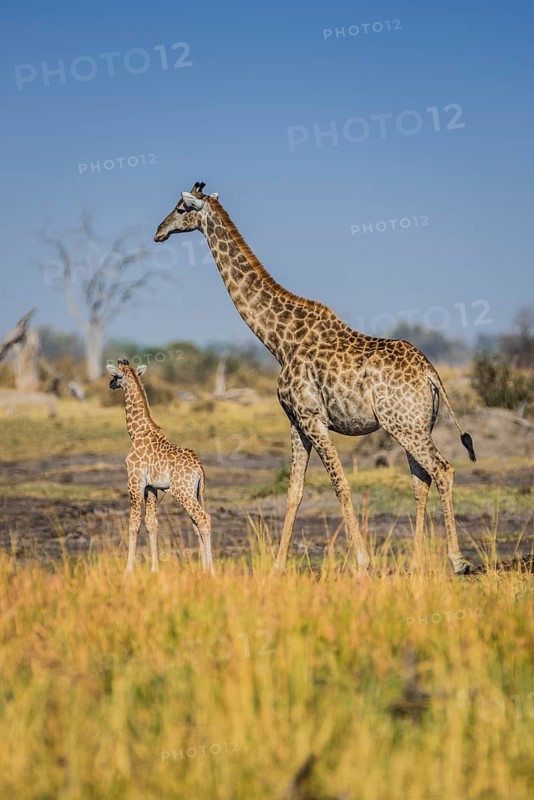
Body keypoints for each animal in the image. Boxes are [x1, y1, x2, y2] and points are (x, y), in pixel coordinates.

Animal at [107, 359, 214, 574]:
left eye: (115, 375)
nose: (110, 384)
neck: (137, 432)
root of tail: (199, 468)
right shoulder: (151, 487)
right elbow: (151, 523)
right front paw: (154, 569)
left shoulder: (135, 482)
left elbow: (133, 524)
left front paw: (128, 571)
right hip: (195, 492)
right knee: (197, 523)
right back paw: (203, 569)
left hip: (182, 492)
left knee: (203, 519)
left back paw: (211, 571)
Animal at [154, 183, 476, 575]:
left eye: (182, 208)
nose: (159, 232)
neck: (279, 340)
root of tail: (431, 373)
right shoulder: (296, 422)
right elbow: (294, 491)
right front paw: (278, 566)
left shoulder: (313, 418)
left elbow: (341, 485)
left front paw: (362, 562)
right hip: (414, 424)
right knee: (422, 478)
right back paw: (416, 563)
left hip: (404, 425)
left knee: (442, 469)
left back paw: (458, 561)